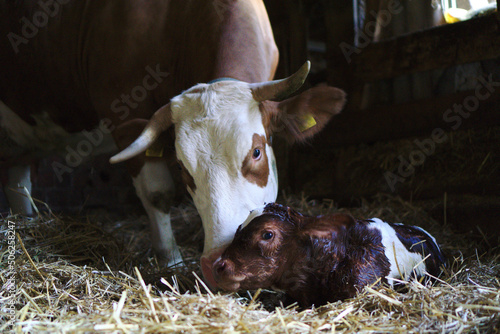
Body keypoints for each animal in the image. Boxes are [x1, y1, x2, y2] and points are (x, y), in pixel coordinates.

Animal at [0, 0, 346, 288]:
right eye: (181, 167)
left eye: (257, 152)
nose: (218, 263)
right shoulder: (123, 116)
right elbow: (158, 193)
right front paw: (171, 261)